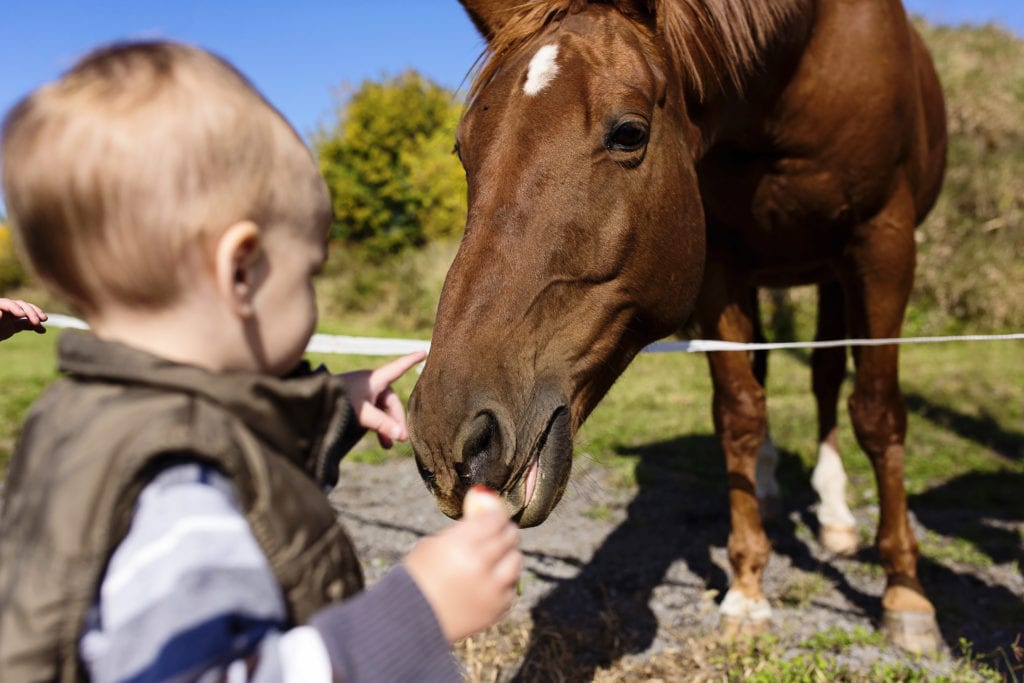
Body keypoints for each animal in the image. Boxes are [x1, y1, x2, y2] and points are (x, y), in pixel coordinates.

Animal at [407, 0, 947, 652]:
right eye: (464, 150)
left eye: (629, 133)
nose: (449, 440)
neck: (800, 68)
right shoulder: (719, 261)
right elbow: (739, 414)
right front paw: (747, 588)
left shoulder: (884, 244)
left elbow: (877, 412)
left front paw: (906, 592)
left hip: (835, 271)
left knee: (825, 376)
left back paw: (837, 516)